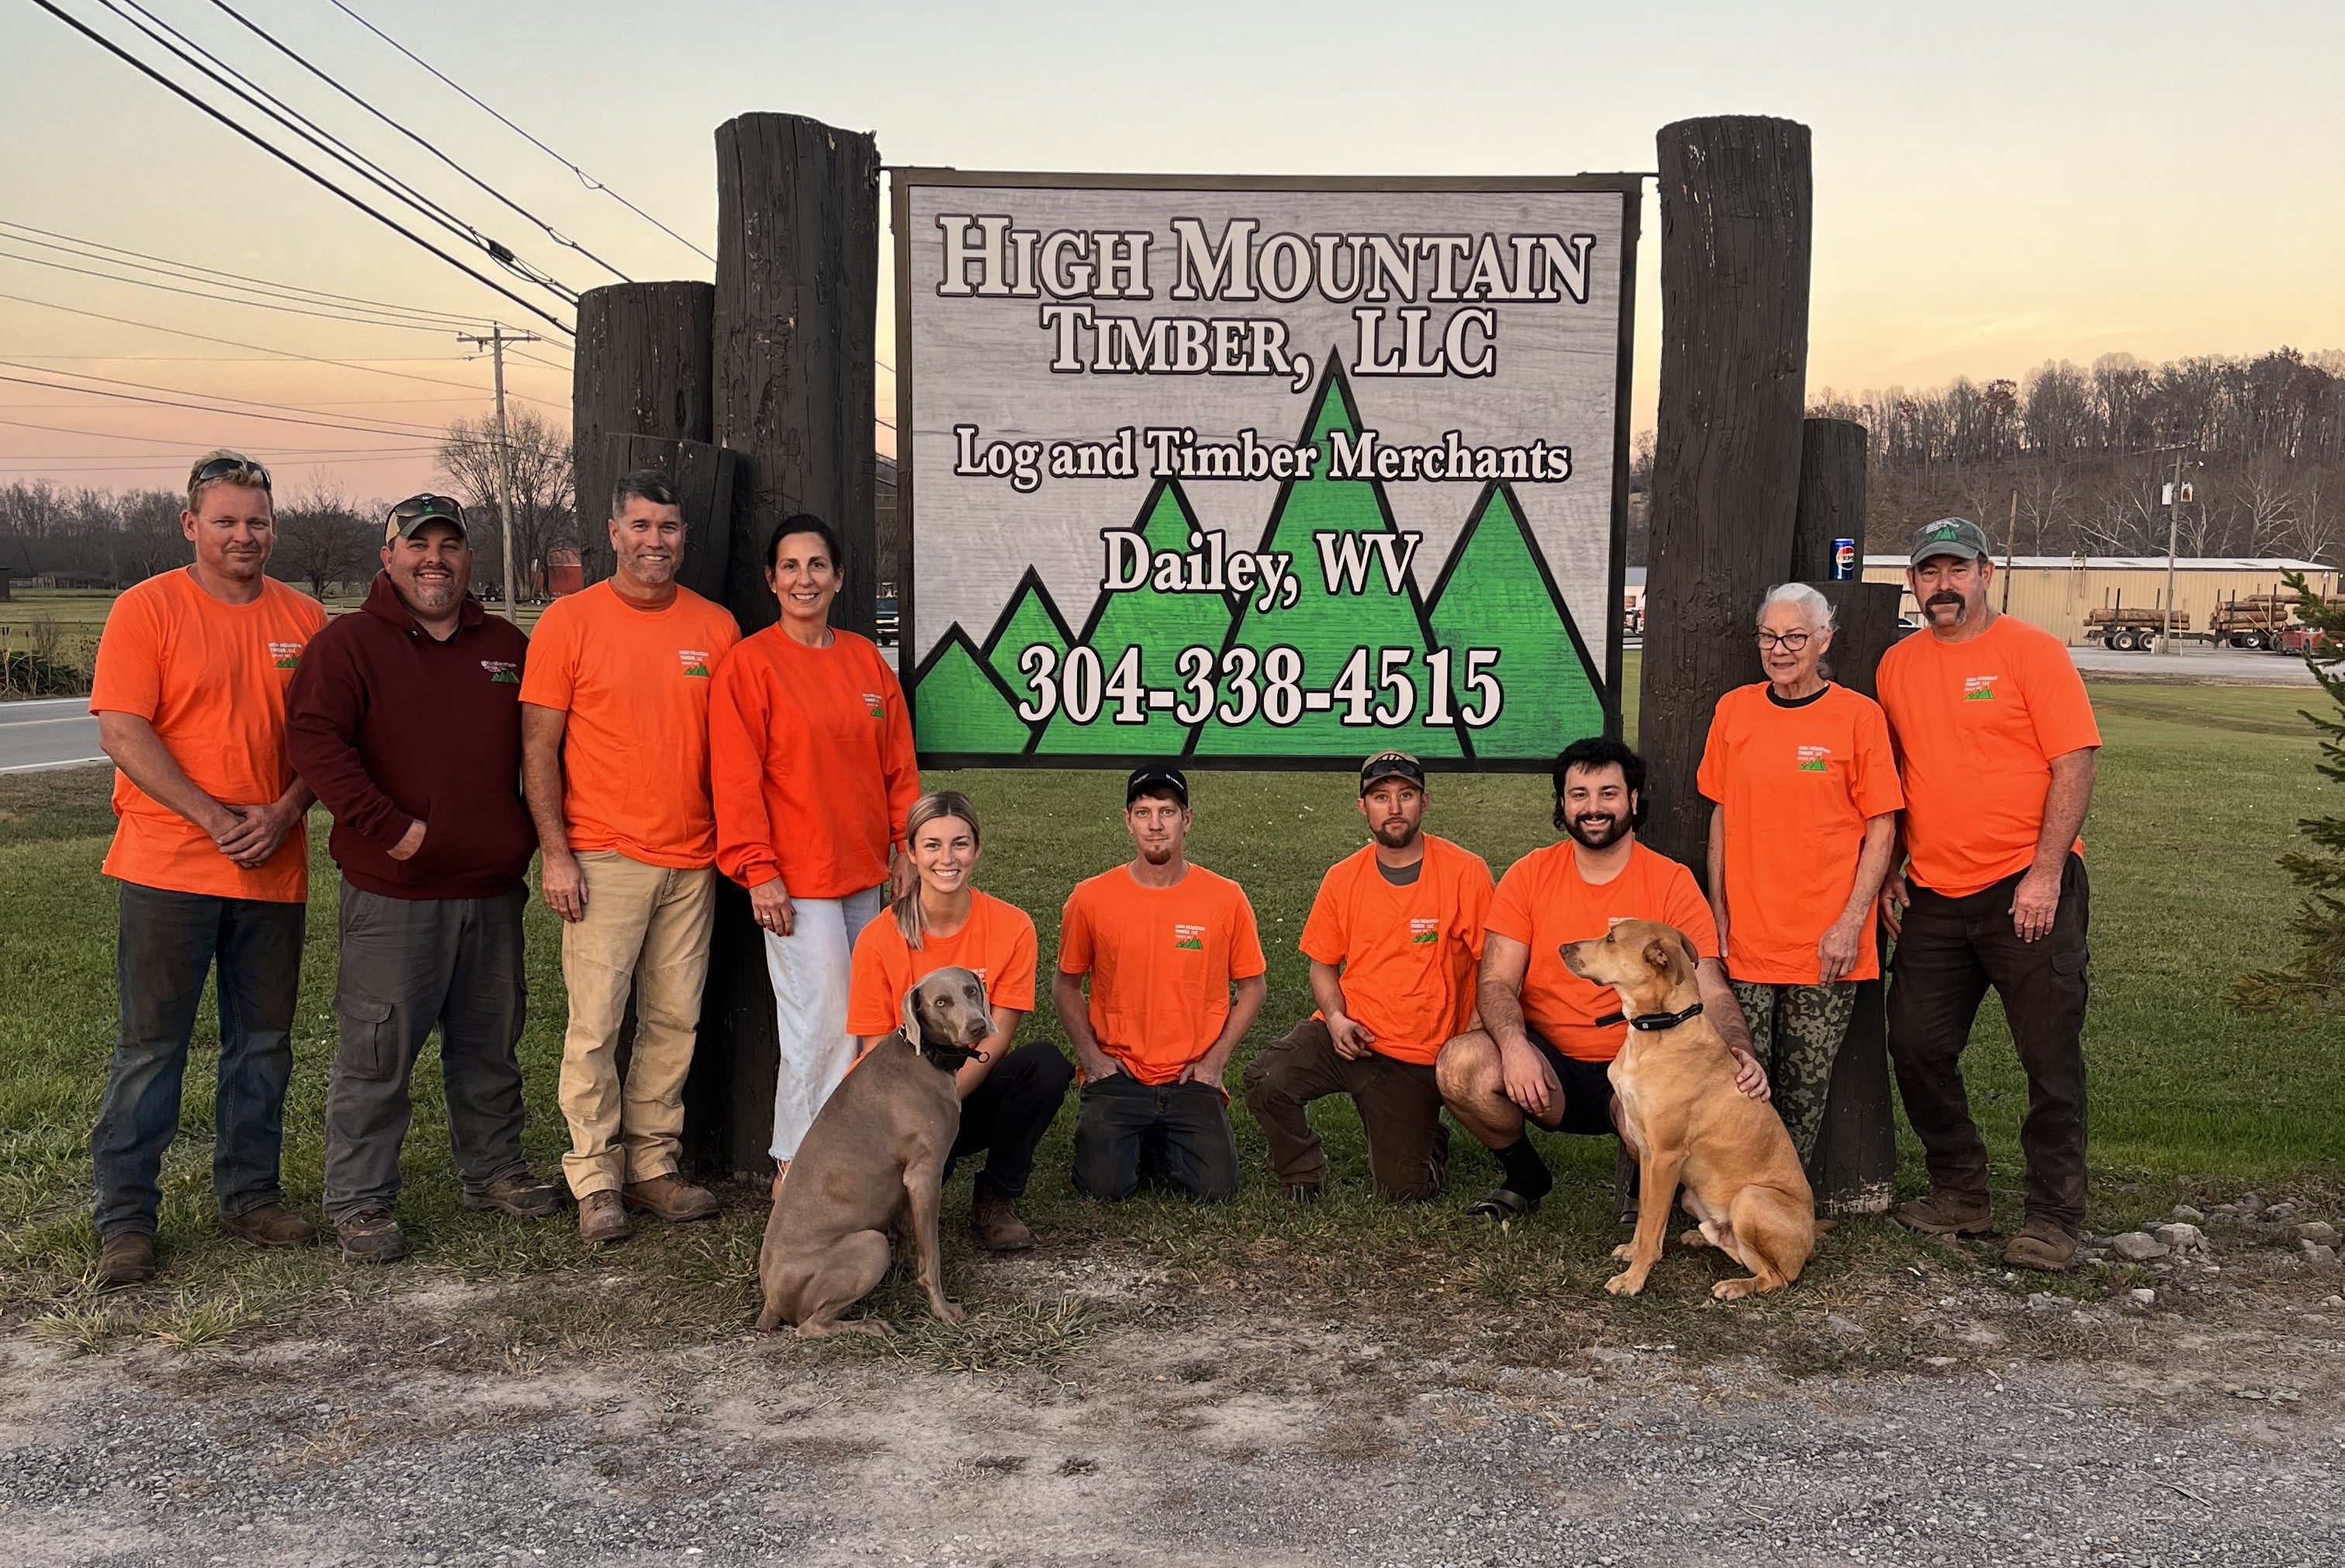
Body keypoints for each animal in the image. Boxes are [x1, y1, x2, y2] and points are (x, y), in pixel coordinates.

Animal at [750, 961, 989, 1340]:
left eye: (970, 990)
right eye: (940, 1002)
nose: (978, 1025)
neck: (923, 1055)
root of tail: (771, 1300)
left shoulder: (906, 1182)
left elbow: (908, 1234)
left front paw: (906, 1272)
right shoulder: (925, 1174)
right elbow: (932, 1256)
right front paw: (942, 1310)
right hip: (869, 1245)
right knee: (809, 1326)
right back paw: (870, 1325)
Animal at [1566, 918, 1819, 1293]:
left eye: (1611, 939)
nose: (1561, 948)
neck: (1659, 1031)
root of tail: (1812, 1244)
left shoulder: (1666, 1156)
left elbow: (1652, 1227)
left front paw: (1634, 1279)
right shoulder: (1647, 1152)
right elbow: (1646, 1219)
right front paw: (1634, 1254)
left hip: (1750, 1198)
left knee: (1776, 1277)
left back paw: (1735, 1286)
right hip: (1692, 1197)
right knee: (1737, 1249)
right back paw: (1702, 1237)